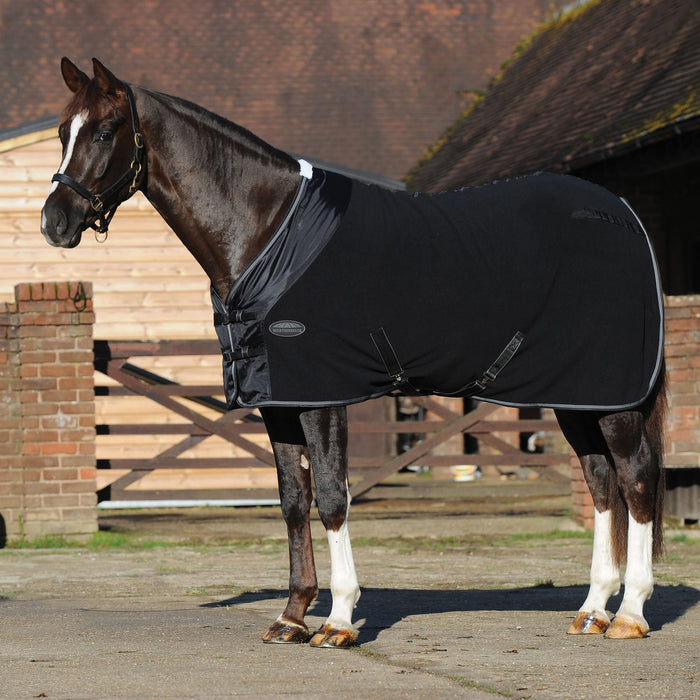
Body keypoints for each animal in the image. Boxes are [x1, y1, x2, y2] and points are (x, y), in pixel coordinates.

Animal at [41, 58, 667, 646]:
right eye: (62, 130)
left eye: (106, 130)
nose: (54, 222)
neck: (269, 230)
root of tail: (628, 218)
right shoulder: (280, 402)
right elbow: (293, 502)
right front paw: (292, 616)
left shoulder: (323, 396)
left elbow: (331, 498)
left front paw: (339, 619)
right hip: (577, 394)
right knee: (601, 482)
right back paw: (592, 610)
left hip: (612, 395)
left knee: (635, 479)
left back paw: (629, 614)